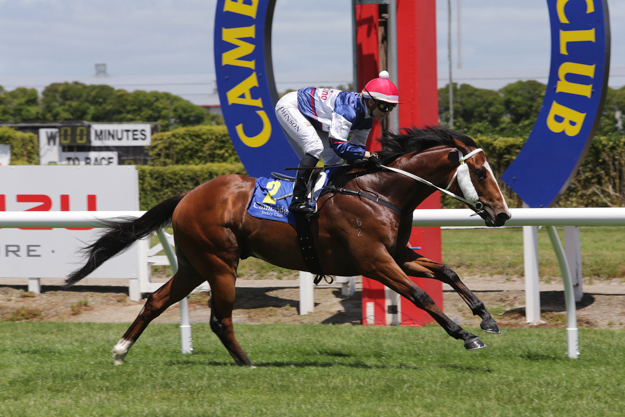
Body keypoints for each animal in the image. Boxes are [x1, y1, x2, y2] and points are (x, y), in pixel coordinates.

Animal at [64, 125, 512, 366]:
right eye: (481, 173)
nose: (503, 214)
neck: (378, 190)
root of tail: (187, 195)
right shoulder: (373, 260)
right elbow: (421, 294)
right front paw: (465, 335)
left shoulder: (397, 254)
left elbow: (446, 271)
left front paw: (486, 319)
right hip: (220, 263)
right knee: (219, 319)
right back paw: (247, 363)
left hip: (193, 264)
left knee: (157, 301)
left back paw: (121, 350)